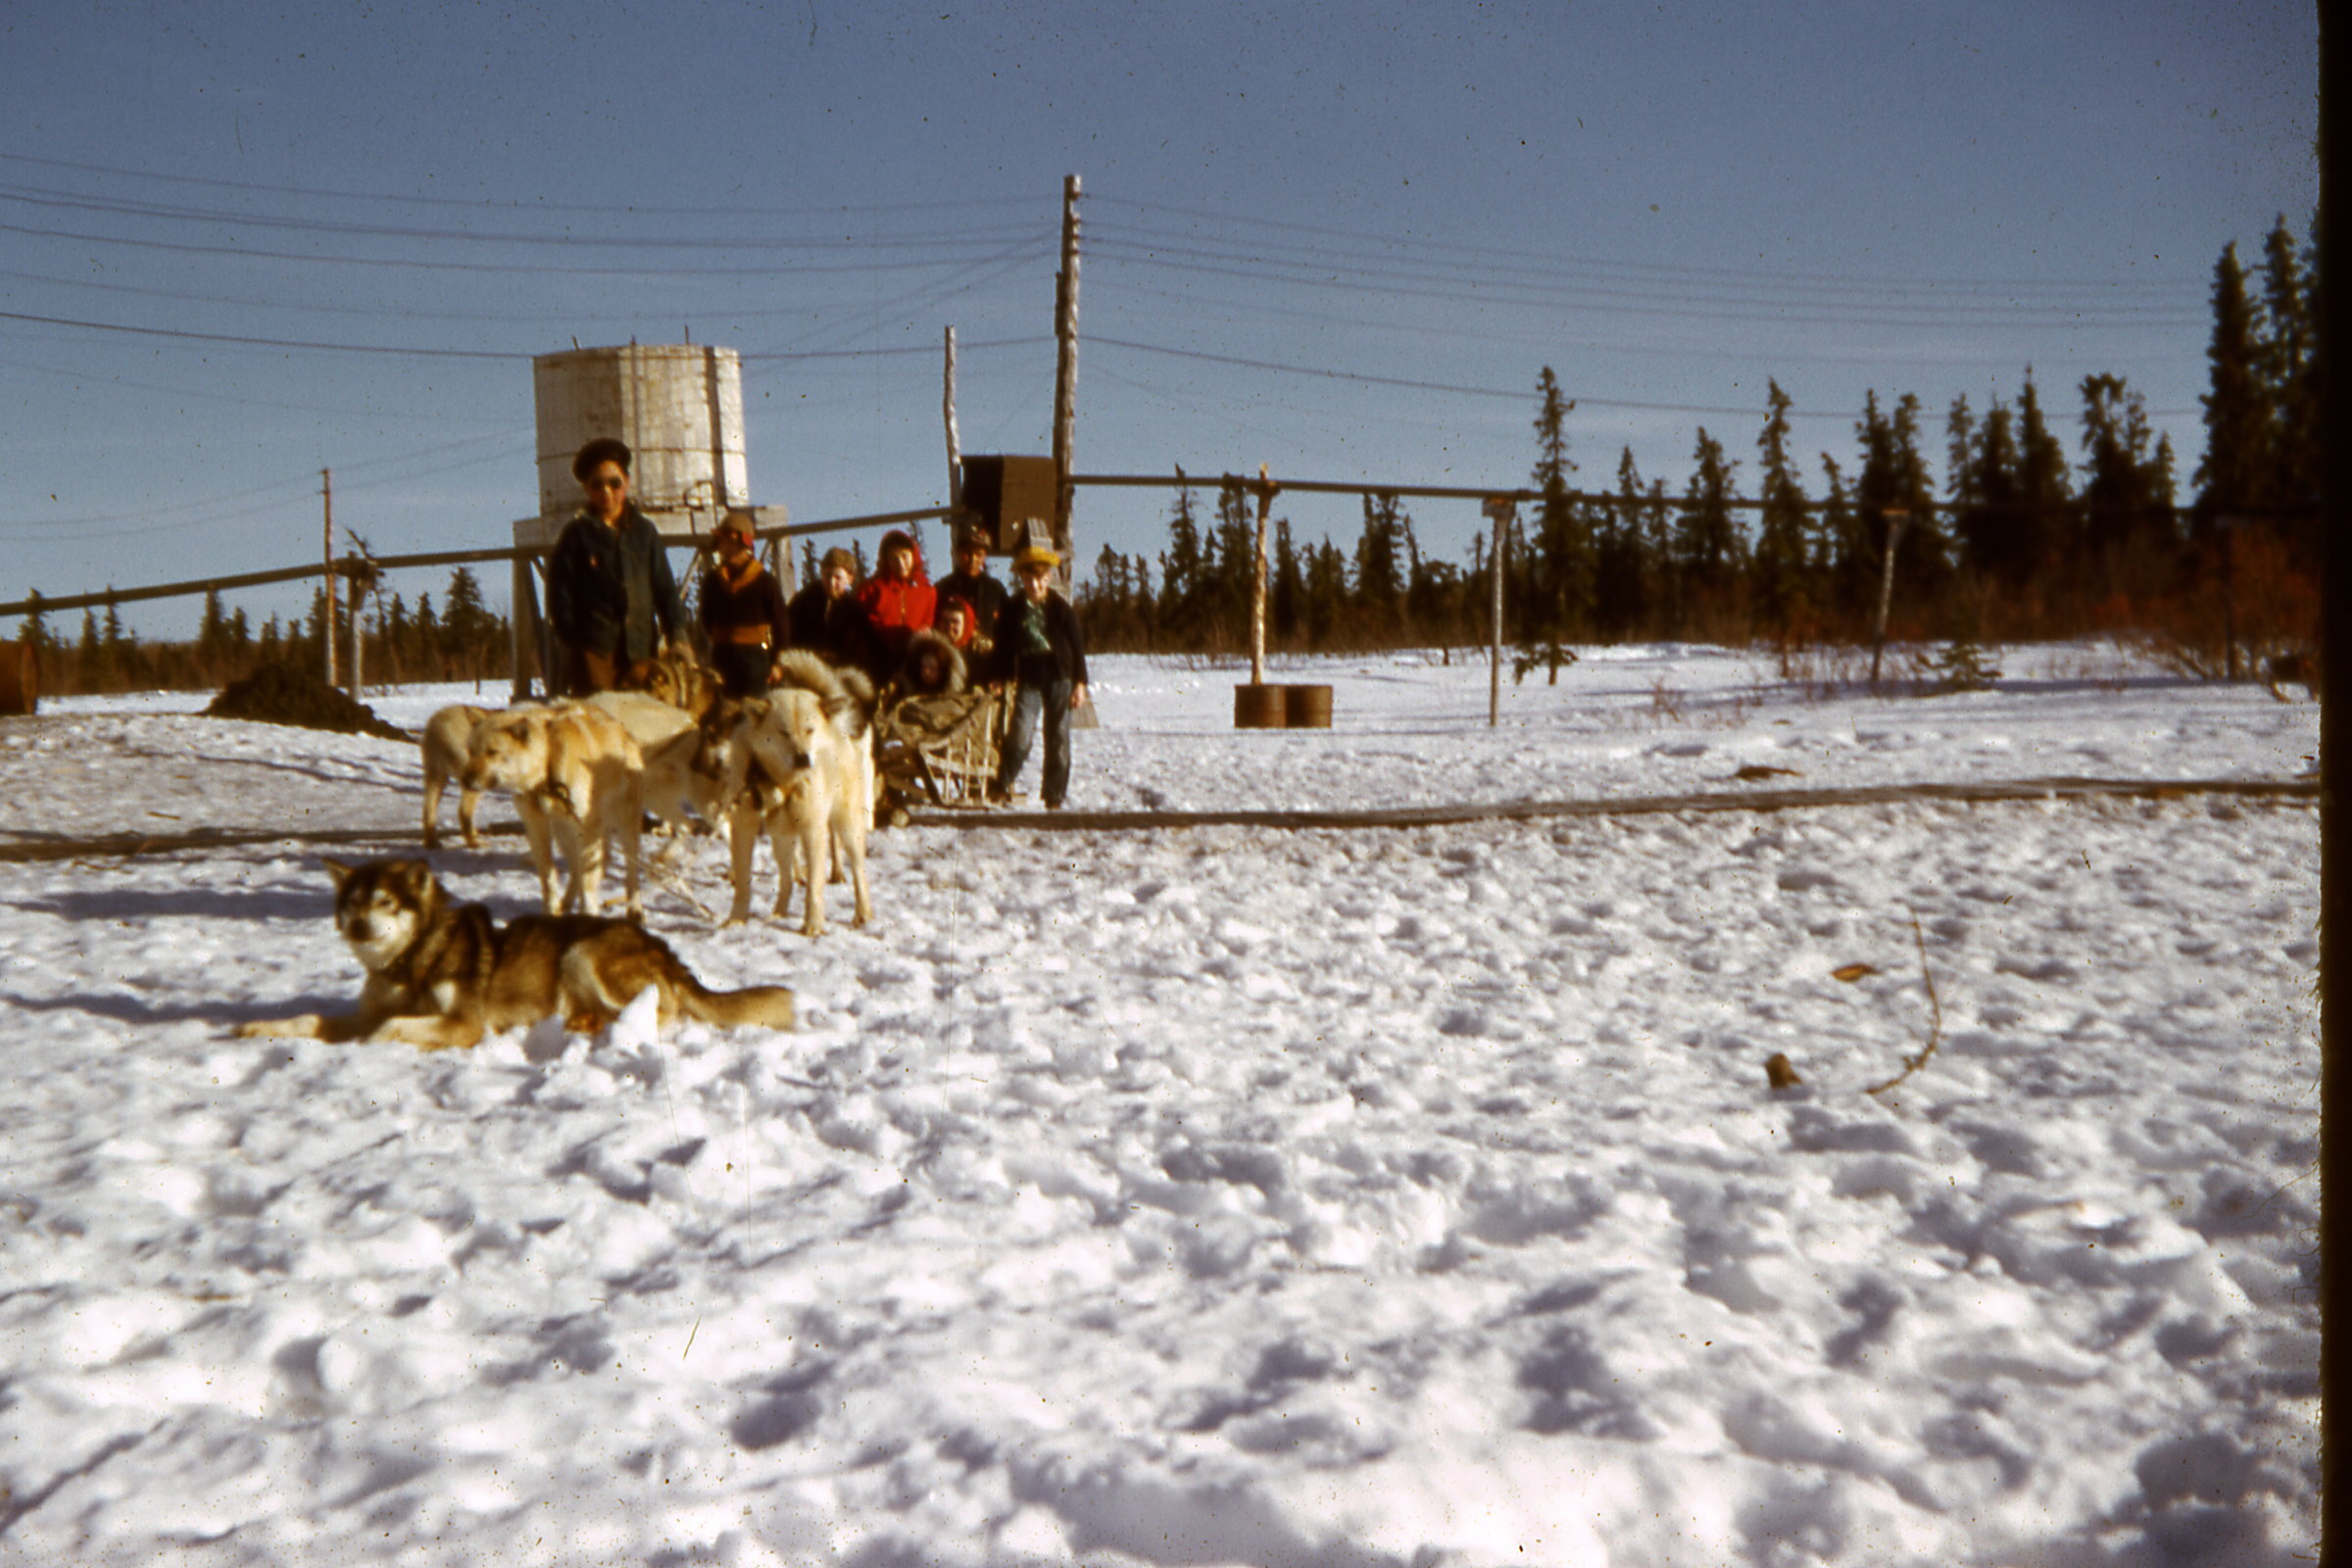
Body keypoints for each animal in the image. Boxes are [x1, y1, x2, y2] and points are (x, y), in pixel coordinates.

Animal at [233, 859, 795, 1053]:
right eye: (351, 903)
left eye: (385, 902)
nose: (357, 925)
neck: (411, 964)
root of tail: (663, 947)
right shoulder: (365, 1009)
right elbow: (310, 1019)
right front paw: (258, 1028)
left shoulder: (463, 1024)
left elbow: (389, 1027)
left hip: (581, 951)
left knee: (654, 1014)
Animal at [420, 700, 494, 846]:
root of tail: (440, 726)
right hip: (474, 782)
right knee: (463, 811)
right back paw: (474, 842)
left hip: (437, 777)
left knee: (428, 811)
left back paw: (432, 843)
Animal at [461, 700, 644, 921]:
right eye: (470, 751)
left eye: (492, 752)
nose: (464, 781)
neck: (547, 768)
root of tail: (623, 730)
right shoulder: (536, 826)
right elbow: (549, 877)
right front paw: (551, 912)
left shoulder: (587, 828)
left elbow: (588, 884)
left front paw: (588, 915)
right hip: (563, 833)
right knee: (576, 870)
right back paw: (566, 904)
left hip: (622, 827)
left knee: (630, 873)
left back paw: (635, 910)